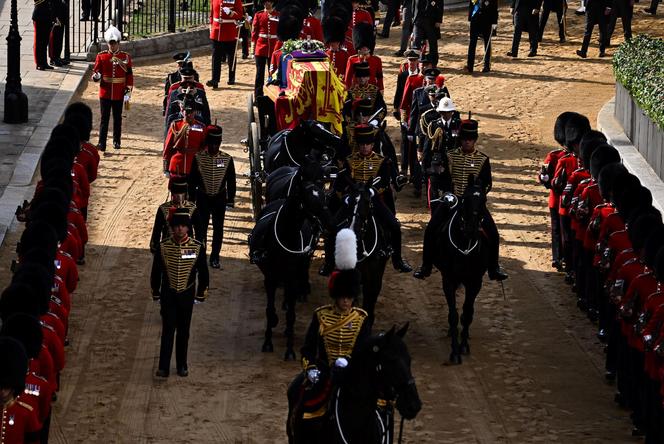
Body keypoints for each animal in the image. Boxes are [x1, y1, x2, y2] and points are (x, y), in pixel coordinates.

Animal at [248, 161, 330, 360]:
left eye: (324, 196)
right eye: (309, 200)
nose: (328, 223)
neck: (285, 236)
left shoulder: (292, 277)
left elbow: (292, 314)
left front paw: (290, 349)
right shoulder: (270, 277)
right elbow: (270, 311)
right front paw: (268, 341)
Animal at [428, 178, 490, 364]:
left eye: (484, 200)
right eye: (465, 200)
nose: (471, 229)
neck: (465, 244)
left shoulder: (475, 281)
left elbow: (467, 313)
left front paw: (463, 346)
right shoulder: (448, 279)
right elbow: (454, 315)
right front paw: (454, 351)